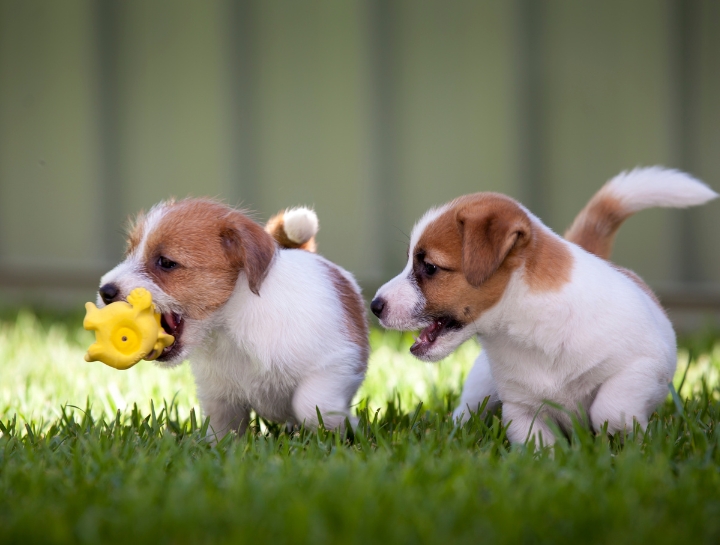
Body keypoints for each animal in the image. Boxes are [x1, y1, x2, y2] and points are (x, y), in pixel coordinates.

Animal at [98, 200, 368, 438]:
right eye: (130, 253)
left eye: (165, 262)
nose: (105, 291)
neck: (229, 327)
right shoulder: (219, 397)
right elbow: (222, 430)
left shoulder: (337, 364)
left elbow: (311, 405)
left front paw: (348, 426)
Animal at [374, 168, 716, 444]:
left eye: (429, 267)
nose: (375, 305)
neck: (529, 326)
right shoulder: (522, 409)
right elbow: (539, 449)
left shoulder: (645, 365)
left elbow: (610, 409)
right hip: (482, 384)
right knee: (466, 409)